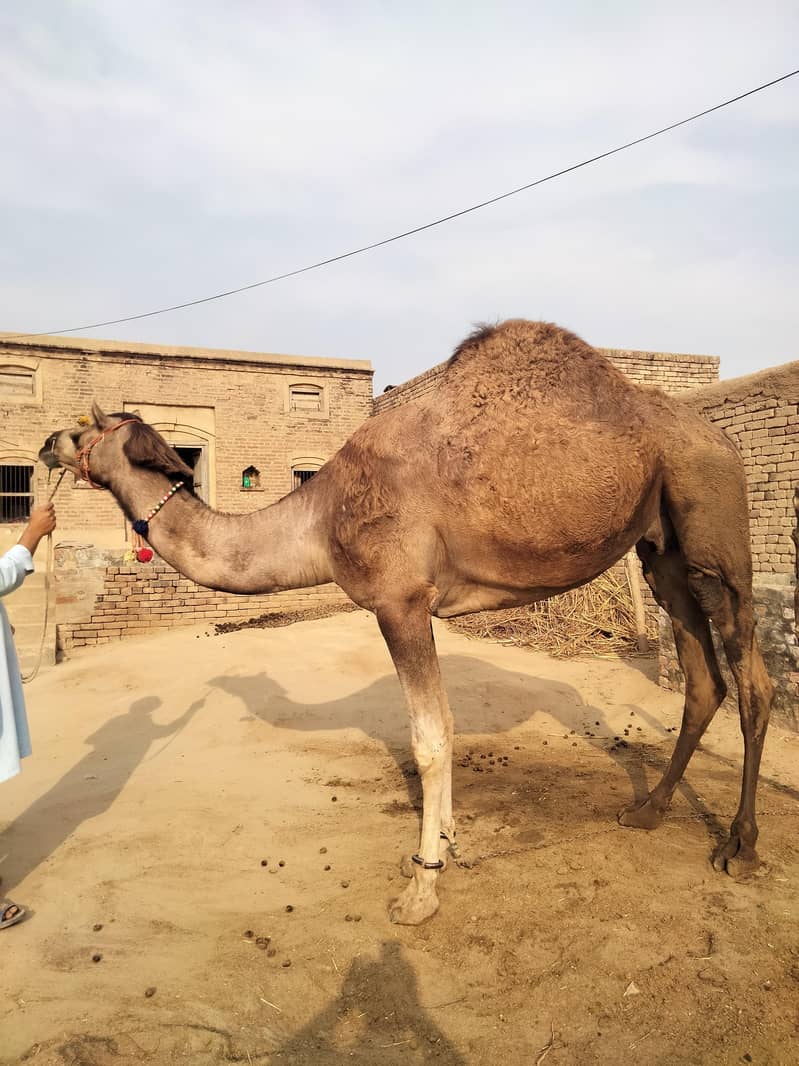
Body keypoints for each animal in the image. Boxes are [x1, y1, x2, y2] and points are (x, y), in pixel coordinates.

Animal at [40, 320, 774, 925]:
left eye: (82, 429)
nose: (46, 444)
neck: (320, 517)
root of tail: (720, 438)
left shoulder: (399, 601)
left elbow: (428, 738)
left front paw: (421, 888)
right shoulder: (417, 606)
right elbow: (442, 724)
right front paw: (444, 842)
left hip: (714, 523)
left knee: (752, 677)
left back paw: (739, 846)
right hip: (661, 549)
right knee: (703, 678)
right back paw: (647, 810)